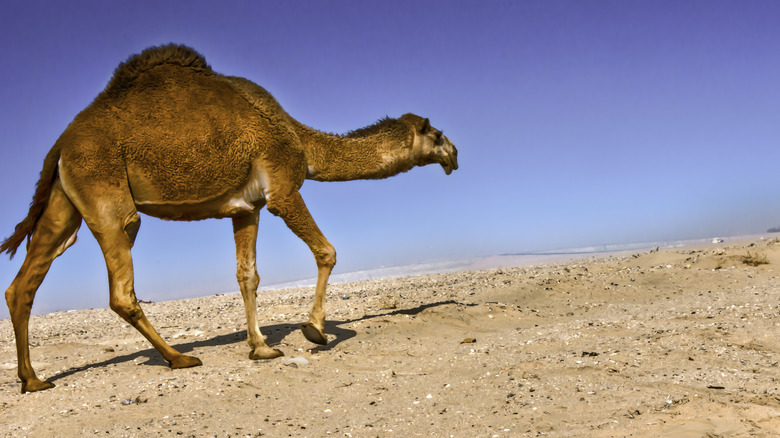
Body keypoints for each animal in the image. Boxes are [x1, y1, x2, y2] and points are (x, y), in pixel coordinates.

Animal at [1, 44, 458, 394]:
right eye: (436, 135)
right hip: (105, 192)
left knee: (24, 283)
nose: (454, 155)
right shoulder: (282, 189)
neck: (298, 139)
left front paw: (262, 348)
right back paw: (179, 358)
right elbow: (326, 252)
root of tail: (60, 143)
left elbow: (247, 276)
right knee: (121, 287)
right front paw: (315, 330)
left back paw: (32, 380)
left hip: (64, 203)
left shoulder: (246, 208)